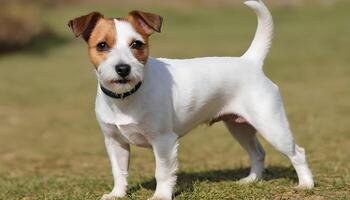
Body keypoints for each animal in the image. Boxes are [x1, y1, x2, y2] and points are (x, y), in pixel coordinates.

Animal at [68, 0, 314, 199]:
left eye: (136, 44)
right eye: (102, 45)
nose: (122, 69)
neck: (127, 97)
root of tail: (250, 61)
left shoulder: (164, 141)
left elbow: (163, 172)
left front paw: (161, 196)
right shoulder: (114, 141)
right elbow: (119, 171)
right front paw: (117, 194)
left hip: (271, 125)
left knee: (297, 153)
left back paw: (306, 184)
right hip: (239, 127)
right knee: (258, 152)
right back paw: (252, 180)